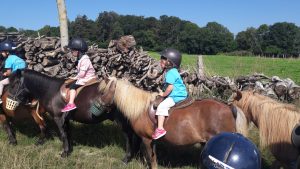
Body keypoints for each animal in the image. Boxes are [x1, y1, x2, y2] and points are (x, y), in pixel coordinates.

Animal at [7, 69, 138, 162]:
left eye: (14, 84)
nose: (9, 100)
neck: (51, 91)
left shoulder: (58, 118)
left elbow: (63, 134)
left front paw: (64, 153)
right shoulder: (66, 119)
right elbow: (68, 134)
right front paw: (69, 149)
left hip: (122, 121)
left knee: (129, 136)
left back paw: (127, 158)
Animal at [99, 78, 247, 169]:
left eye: (102, 90)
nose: (99, 105)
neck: (140, 109)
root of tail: (228, 107)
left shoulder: (146, 139)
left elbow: (151, 160)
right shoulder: (151, 141)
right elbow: (153, 158)